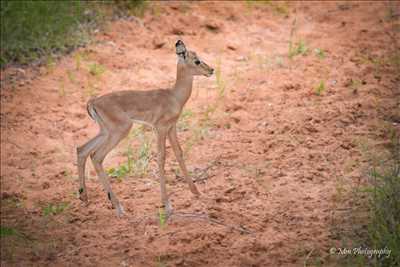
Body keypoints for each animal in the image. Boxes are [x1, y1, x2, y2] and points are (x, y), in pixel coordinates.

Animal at [78, 40, 216, 218]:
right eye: (197, 61)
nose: (211, 70)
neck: (173, 96)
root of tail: (93, 101)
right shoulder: (160, 128)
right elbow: (161, 158)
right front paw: (168, 205)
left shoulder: (171, 127)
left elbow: (179, 153)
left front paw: (196, 192)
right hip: (119, 131)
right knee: (96, 156)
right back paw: (119, 208)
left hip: (105, 132)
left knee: (82, 150)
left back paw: (84, 197)